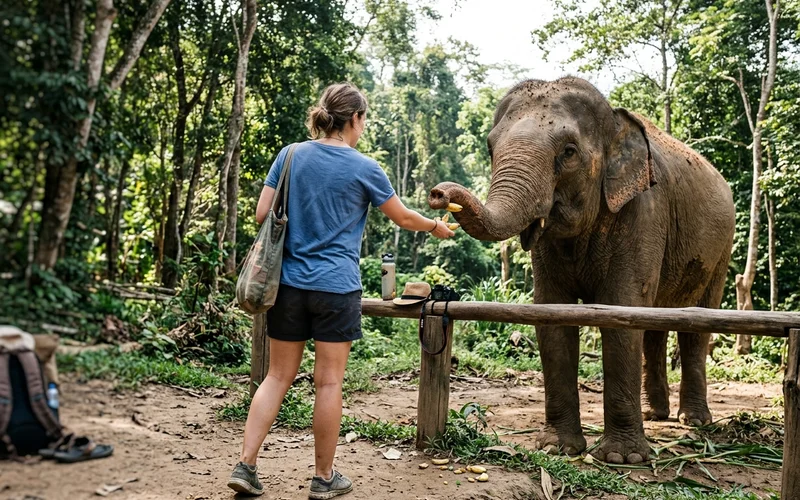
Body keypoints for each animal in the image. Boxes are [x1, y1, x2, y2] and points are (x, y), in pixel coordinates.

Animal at [429, 77, 735, 464]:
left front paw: (623, 458)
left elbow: (622, 314)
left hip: (721, 249)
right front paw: (557, 448)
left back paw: (693, 421)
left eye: (569, 152)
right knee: (655, 324)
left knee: (697, 324)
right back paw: (655, 414)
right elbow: (552, 316)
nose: (438, 193)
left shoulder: (644, 213)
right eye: (490, 147)